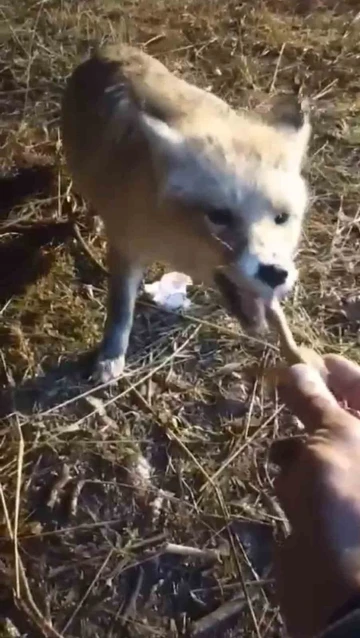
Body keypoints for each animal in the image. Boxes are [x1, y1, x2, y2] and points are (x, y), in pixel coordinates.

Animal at [60, 46, 310, 384]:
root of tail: (111, 50)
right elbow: (120, 311)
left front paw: (296, 354)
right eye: (218, 216)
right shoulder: (127, 248)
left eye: (282, 217)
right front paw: (110, 356)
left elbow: (276, 315)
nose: (275, 273)